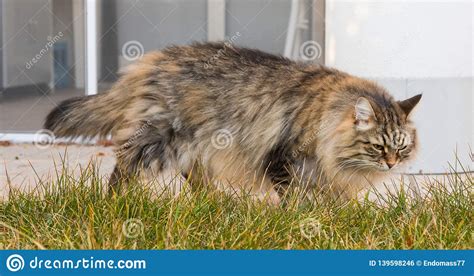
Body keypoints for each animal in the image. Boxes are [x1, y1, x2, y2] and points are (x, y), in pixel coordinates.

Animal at [45, 42, 422, 204]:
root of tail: (157, 59)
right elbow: (295, 199)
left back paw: (217, 205)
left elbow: (336, 204)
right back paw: (114, 203)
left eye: (401, 148)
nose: (391, 164)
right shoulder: (283, 160)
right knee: (122, 168)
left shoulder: (329, 178)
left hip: (196, 145)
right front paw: (302, 220)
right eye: (378, 147)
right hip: (158, 140)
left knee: (194, 176)